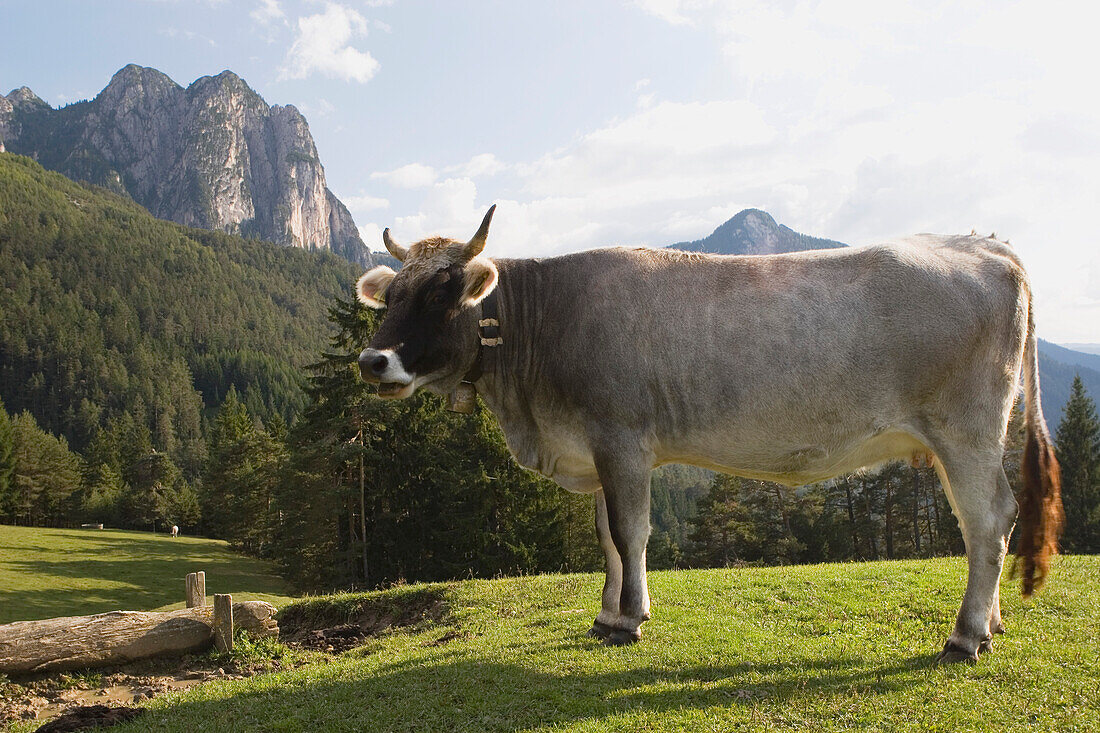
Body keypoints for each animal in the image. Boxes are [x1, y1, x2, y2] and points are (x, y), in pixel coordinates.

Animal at [356, 205, 1060, 660]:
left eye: (442, 293)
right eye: (390, 296)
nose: (372, 361)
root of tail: (983, 243)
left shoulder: (622, 437)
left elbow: (629, 532)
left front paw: (629, 621)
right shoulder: (596, 448)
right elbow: (605, 539)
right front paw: (608, 613)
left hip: (967, 429)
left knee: (990, 518)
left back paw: (964, 636)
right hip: (954, 440)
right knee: (979, 525)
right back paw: (990, 622)